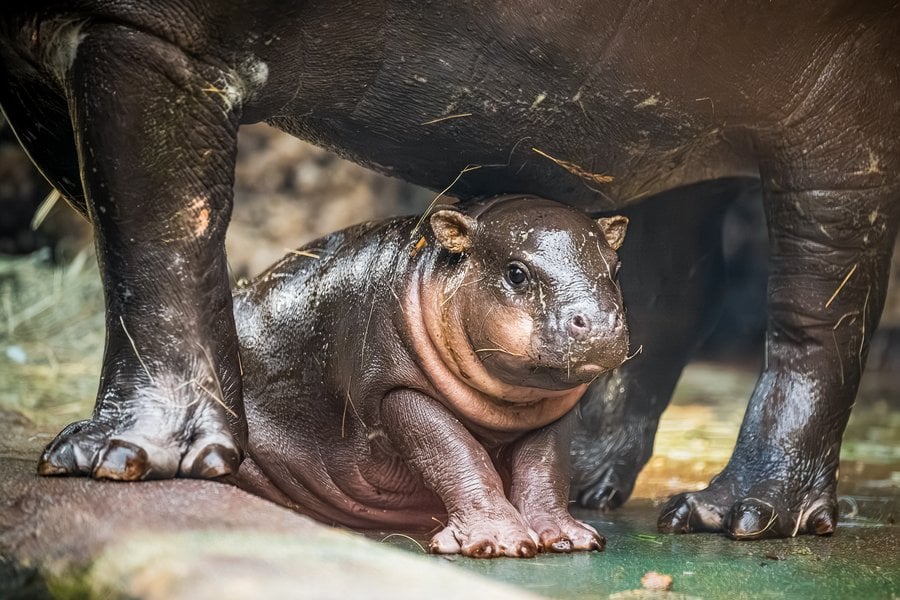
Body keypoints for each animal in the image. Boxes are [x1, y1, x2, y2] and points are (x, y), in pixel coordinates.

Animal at [232, 197, 624, 556]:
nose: (600, 322)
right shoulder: (396, 390)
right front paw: (497, 542)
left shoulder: (554, 411)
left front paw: (570, 539)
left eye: (616, 268)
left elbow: (546, 467)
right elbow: (455, 451)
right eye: (516, 273)